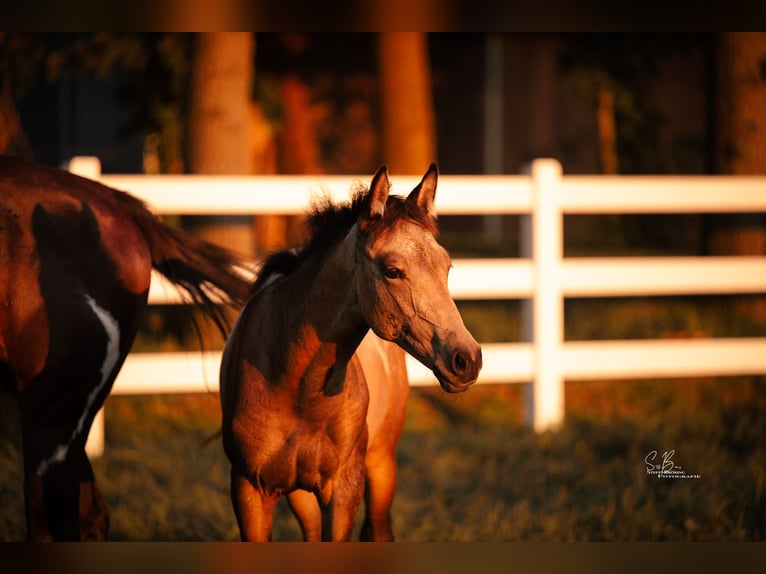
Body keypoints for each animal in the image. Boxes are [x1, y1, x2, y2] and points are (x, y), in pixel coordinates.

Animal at [220, 163, 483, 541]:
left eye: (446, 267)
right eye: (392, 271)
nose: (467, 360)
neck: (291, 385)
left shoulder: (344, 490)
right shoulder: (249, 490)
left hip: (381, 464)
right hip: (301, 494)